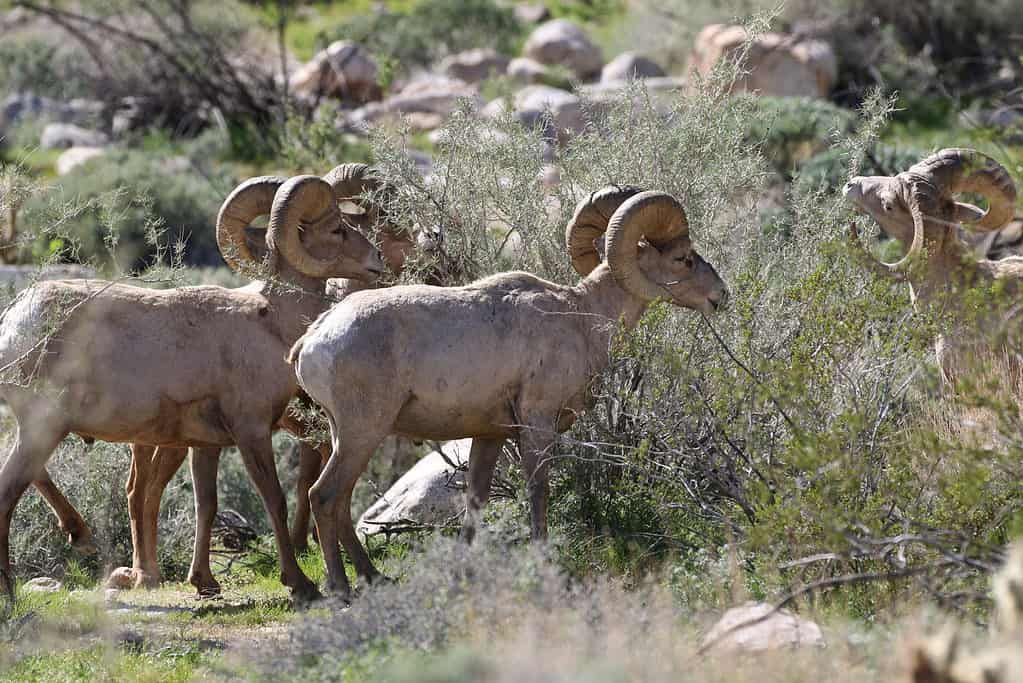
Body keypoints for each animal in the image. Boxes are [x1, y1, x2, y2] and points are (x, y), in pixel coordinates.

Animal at [0, 171, 382, 601]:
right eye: (336, 229)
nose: (377, 261)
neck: (271, 320)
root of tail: (15, 317)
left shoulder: (206, 444)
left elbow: (207, 504)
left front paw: (205, 583)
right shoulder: (251, 431)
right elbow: (274, 500)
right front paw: (300, 585)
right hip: (43, 428)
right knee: (8, 495)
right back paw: (18, 588)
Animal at [292, 188, 732, 597]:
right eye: (683, 258)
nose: (721, 296)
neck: (581, 319)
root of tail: (313, 339)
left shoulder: (489, 436)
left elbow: (475, 501)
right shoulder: (537, 424)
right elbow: (538, 490)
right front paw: (543, 562)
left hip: (345, 437)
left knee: (342, 503)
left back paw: (374, 578)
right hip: (362, 433)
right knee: (325, 497)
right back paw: (341, 589)